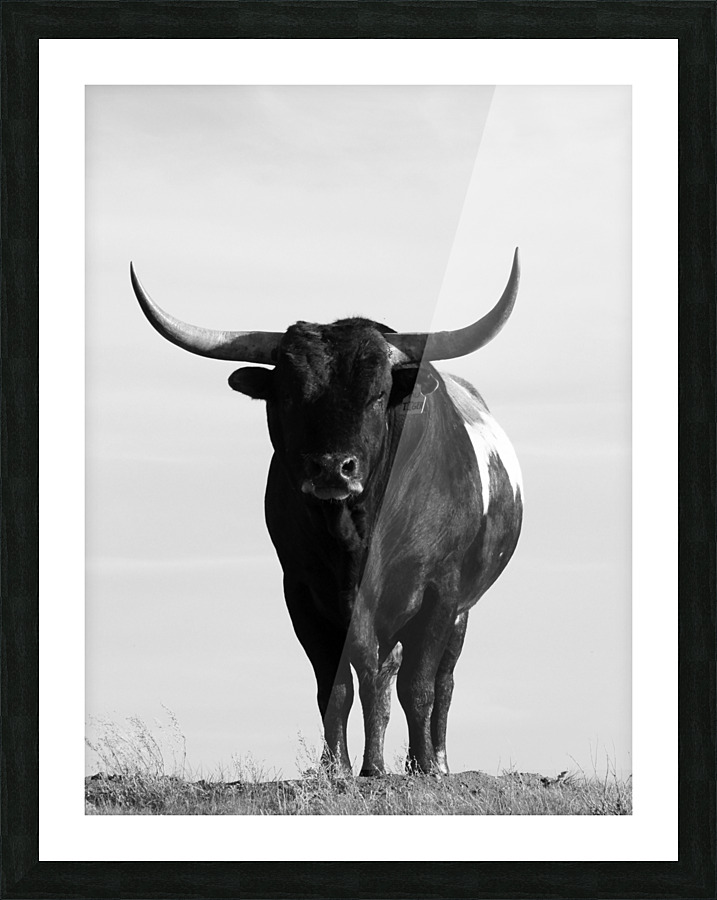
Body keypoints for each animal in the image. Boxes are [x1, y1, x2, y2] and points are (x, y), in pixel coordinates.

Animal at [130, 250, 523, 777]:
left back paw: (432, 761)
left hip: (460, 609)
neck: (355, 536)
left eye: (377, 395)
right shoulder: (302, 591)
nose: (334, 467)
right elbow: (335, 687)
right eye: (288, 395)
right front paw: (337, 768)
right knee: (379, 670)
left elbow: (418, 686)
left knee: (439, 681)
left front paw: (418, 767)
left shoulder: (440, 592)